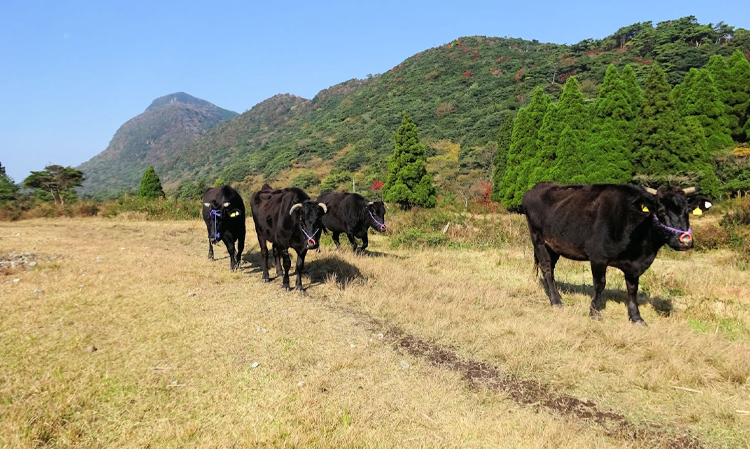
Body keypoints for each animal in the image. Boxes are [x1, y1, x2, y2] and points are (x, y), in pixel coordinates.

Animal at [524, 183, 712, 326]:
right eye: (661, 211)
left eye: (687, 212)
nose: (685, 240)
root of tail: (537, 186)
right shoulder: (598, 256)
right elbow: (600, 284)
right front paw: (594, 312)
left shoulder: (635, 266)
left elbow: (632, 289)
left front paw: (636, 317)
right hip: (538, 240)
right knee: (547, 268)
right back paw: (556, 301)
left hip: (554, 246)